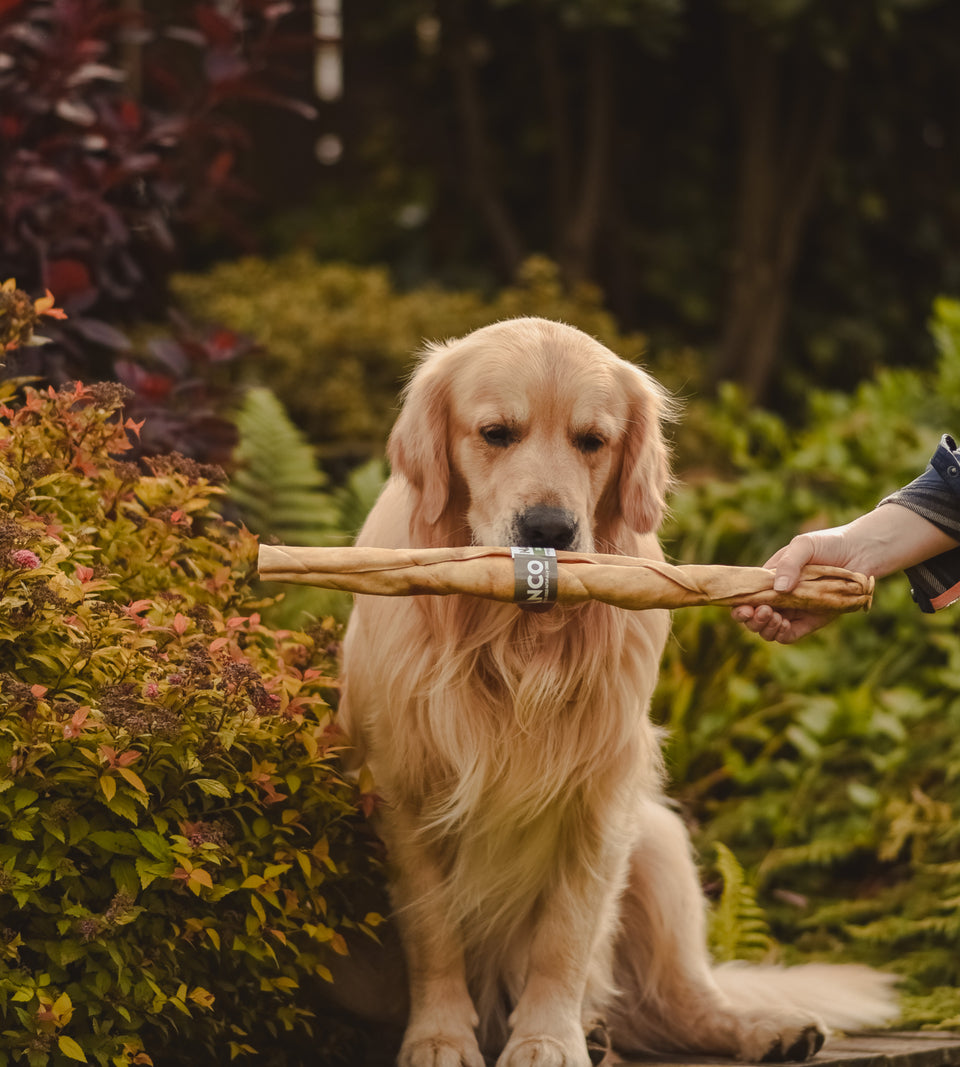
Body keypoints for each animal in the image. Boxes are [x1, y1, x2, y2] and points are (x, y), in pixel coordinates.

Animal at [334, 317, 891, 1067]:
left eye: (592, 441)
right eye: (495, 433)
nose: (548, 529)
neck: (518, 640)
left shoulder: (600, 790)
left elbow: (565, 935)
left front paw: (548, 1040)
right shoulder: (403, 787)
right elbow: (433, 931)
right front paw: (440, 1038)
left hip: (659, 835)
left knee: (682, 996)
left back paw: (757, 1026)